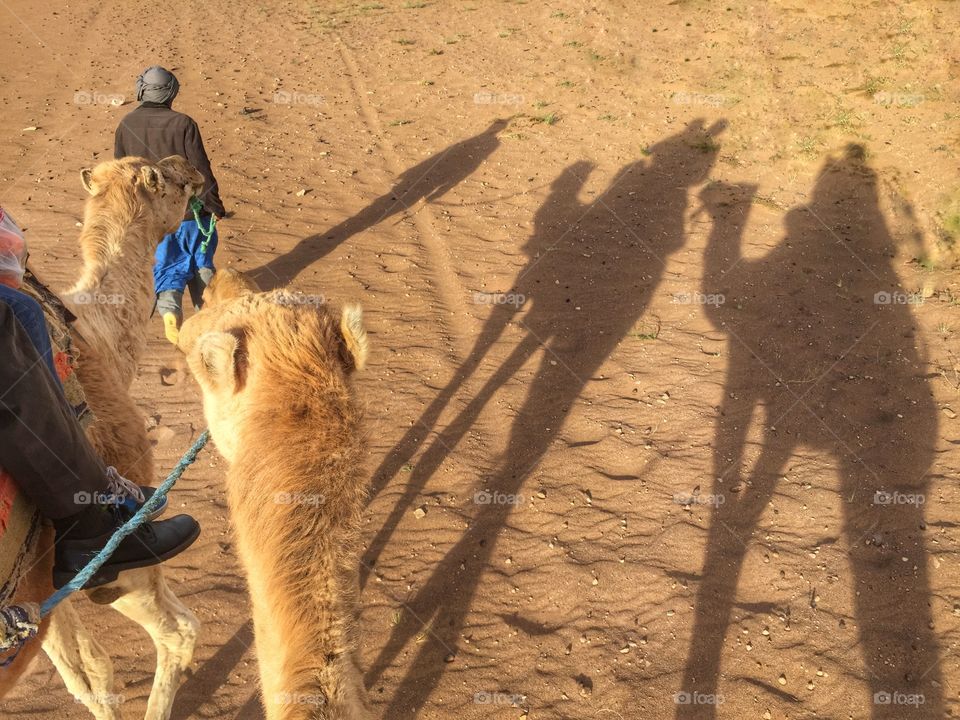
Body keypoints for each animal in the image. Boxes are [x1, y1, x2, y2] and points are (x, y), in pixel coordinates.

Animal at [0, 153, 206, 720]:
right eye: (169, 179)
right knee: (179, 631)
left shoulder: (37, 585)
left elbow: (83, 673)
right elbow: (94, 671)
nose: (190, 167)